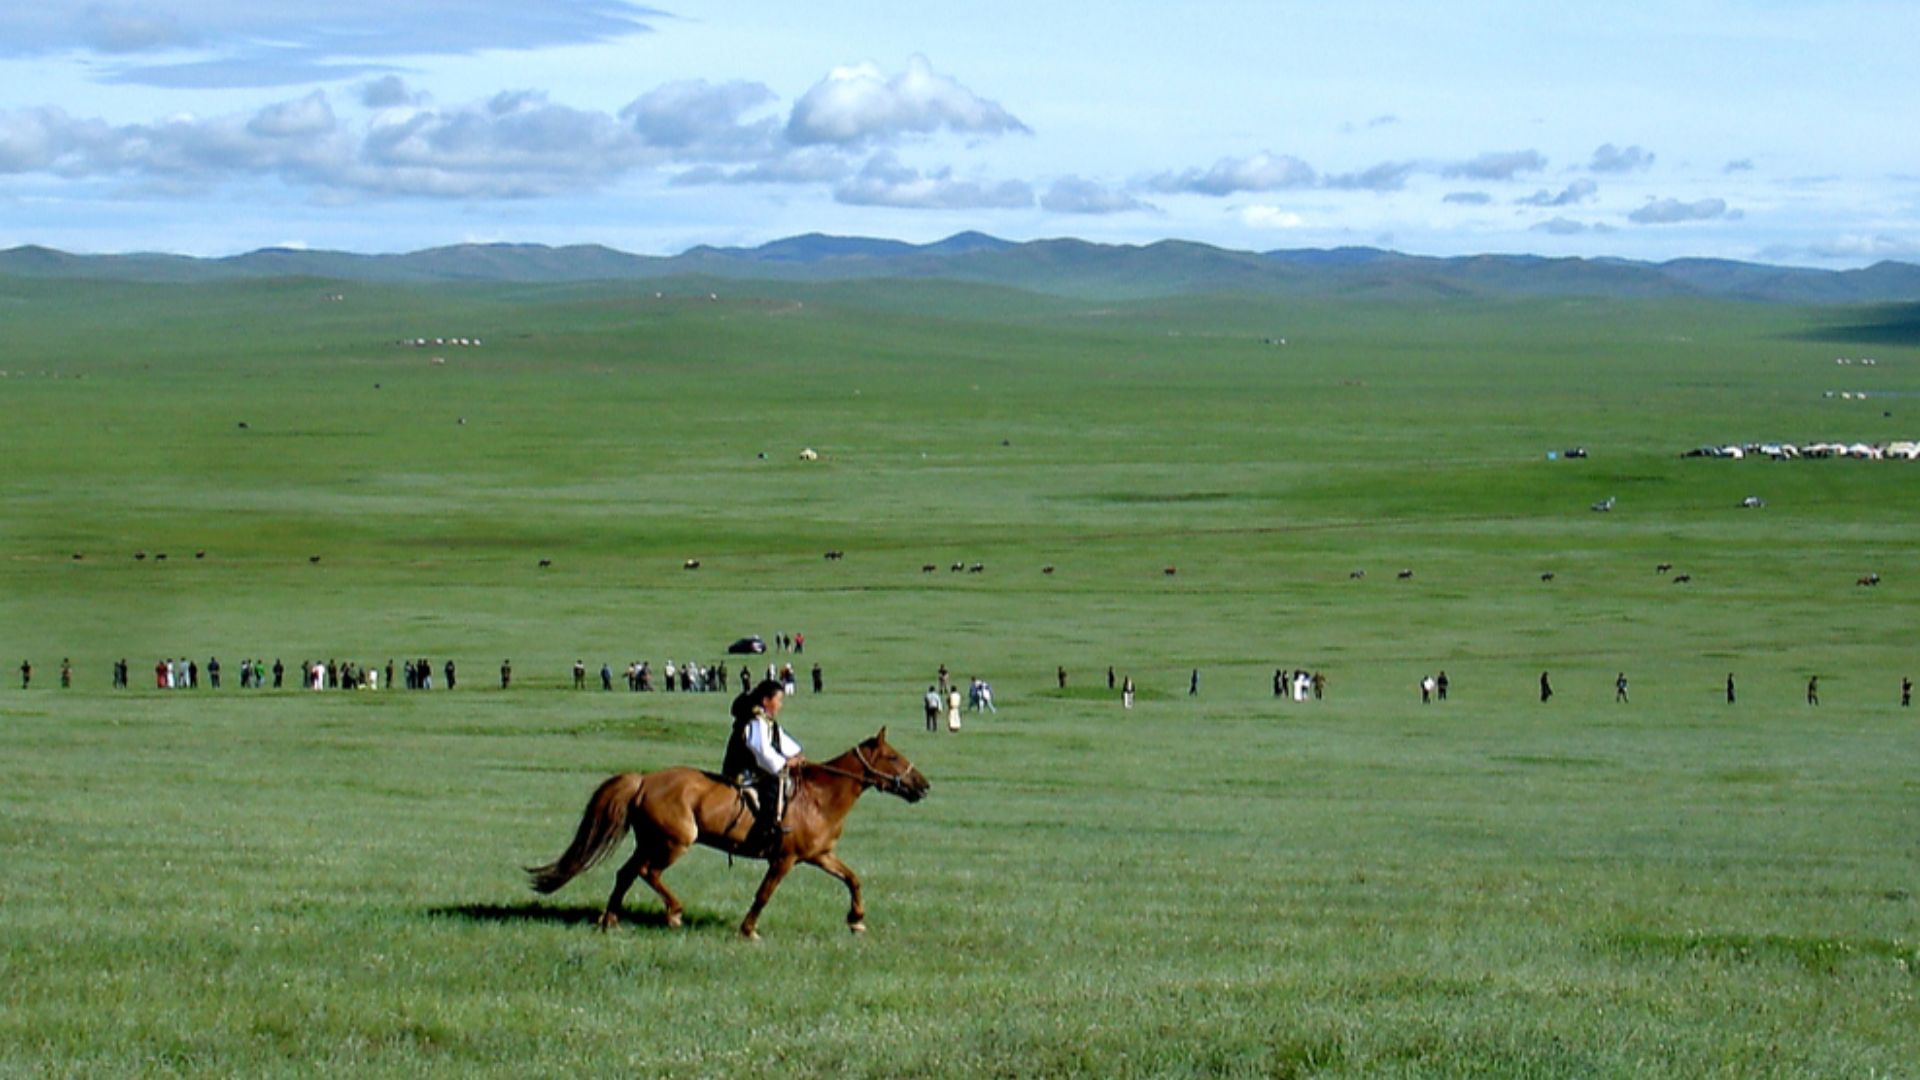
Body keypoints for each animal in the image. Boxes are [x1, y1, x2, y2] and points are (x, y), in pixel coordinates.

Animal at [526, 729, 929, 939]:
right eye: (893, 757)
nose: (923, 786)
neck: (819, 797)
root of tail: (643, 781)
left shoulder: (819, 856)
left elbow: (853, 879)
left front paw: (856, 919)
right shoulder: (785, 859)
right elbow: (764, 894)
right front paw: (749, 929)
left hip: (651, 841)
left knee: (626, 873)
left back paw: (610, 920)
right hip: (673, 843)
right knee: (646, 872)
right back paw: (673, 913)